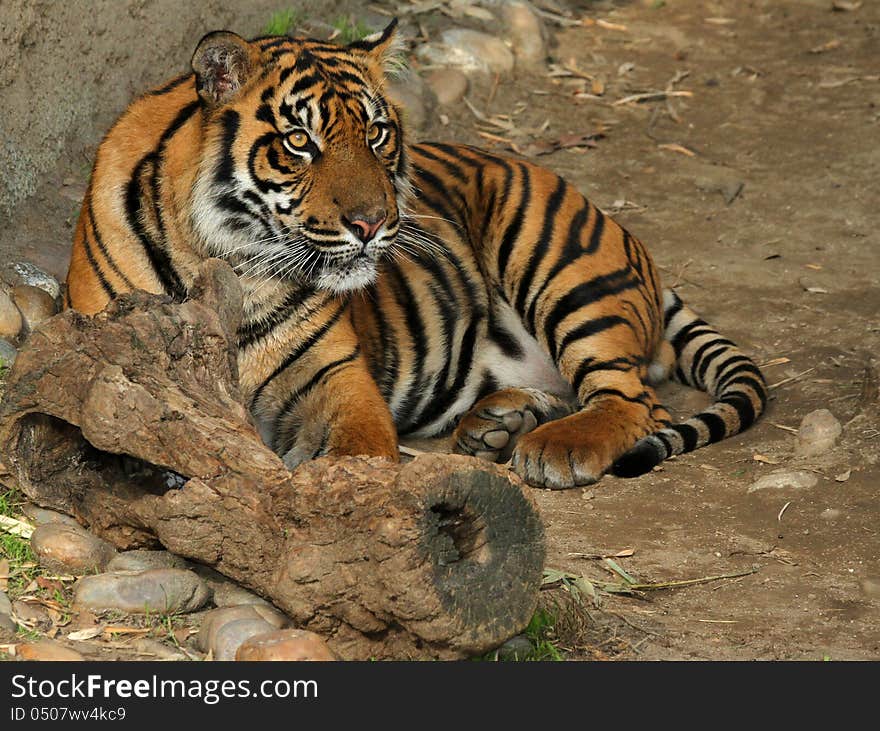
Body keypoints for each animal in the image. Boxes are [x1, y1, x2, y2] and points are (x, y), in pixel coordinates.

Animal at [65, 22, 768, 488]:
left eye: (376, 133)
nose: (374, 222)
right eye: (300, 141)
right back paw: (499, 423)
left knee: (634, 400)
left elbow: (354, 450)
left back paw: (552, 450)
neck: (230, 263)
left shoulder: (337, 378)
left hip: (554, 259)